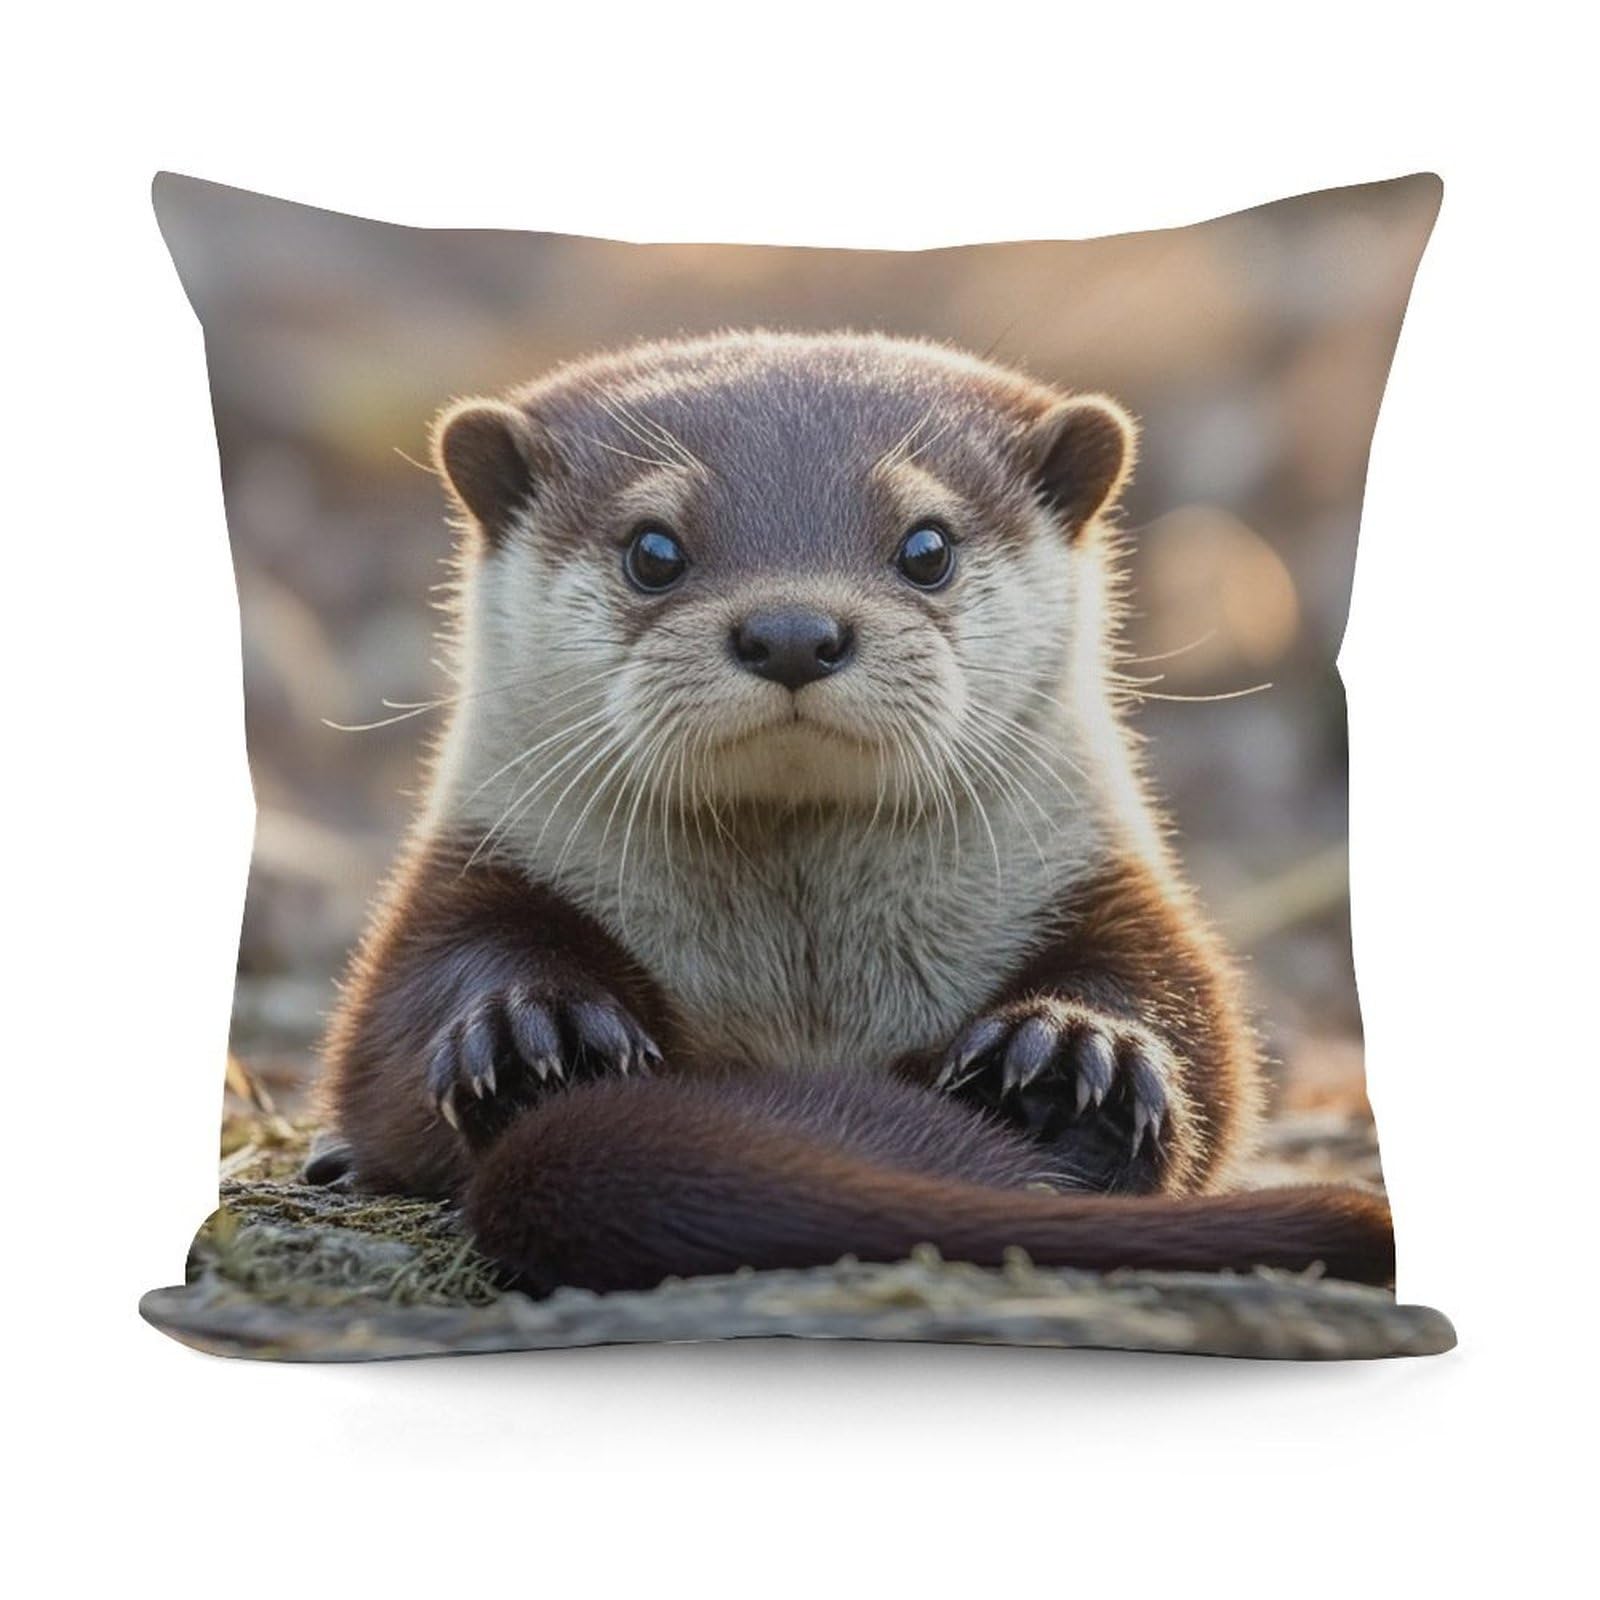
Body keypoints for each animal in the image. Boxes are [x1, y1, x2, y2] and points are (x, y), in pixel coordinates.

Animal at [314, 330, 1393, 1294]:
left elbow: (1194, 1033)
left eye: (927, 546)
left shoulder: (1110, 886)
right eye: (653, 549)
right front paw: (533, 1033)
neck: (807, 992)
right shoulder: (466, 873)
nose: (793, 629)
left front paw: (1073, 1053)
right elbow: (395, 1034)